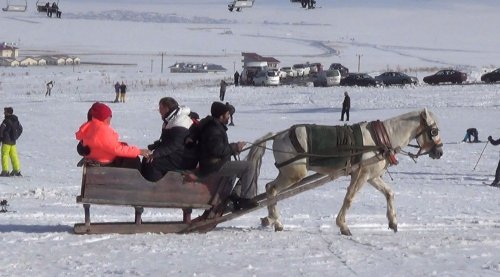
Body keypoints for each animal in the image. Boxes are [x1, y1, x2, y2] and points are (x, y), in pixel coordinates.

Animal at [248, 108, 444, 235]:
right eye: (434, 131)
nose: (440, 152)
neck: (381, 139)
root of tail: (279, 135)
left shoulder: (371, 176)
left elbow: (389, 193)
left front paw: (393, 222)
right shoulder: (361, 175)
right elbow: (349, 198)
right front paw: (342, 225)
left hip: (287, 173)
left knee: (269, 188)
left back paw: (273, 220)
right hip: (294, 173)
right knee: (272, 189)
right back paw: (274, 220)